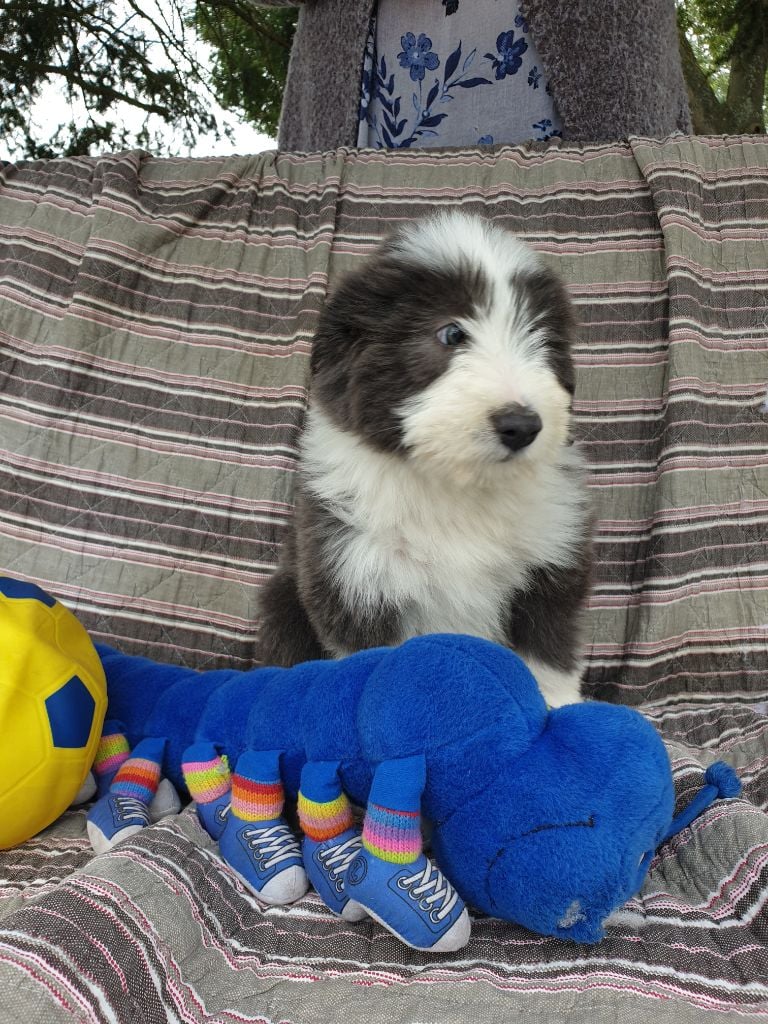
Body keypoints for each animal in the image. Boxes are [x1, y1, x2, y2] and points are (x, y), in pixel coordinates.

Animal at [259, 211, 593, 708]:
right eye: (451, 334)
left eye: (541, 338)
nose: (522, 425)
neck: (454, 487)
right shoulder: (352, 578)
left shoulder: (551, 568)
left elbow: (547, 658)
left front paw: (561, 712)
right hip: (282, 601)